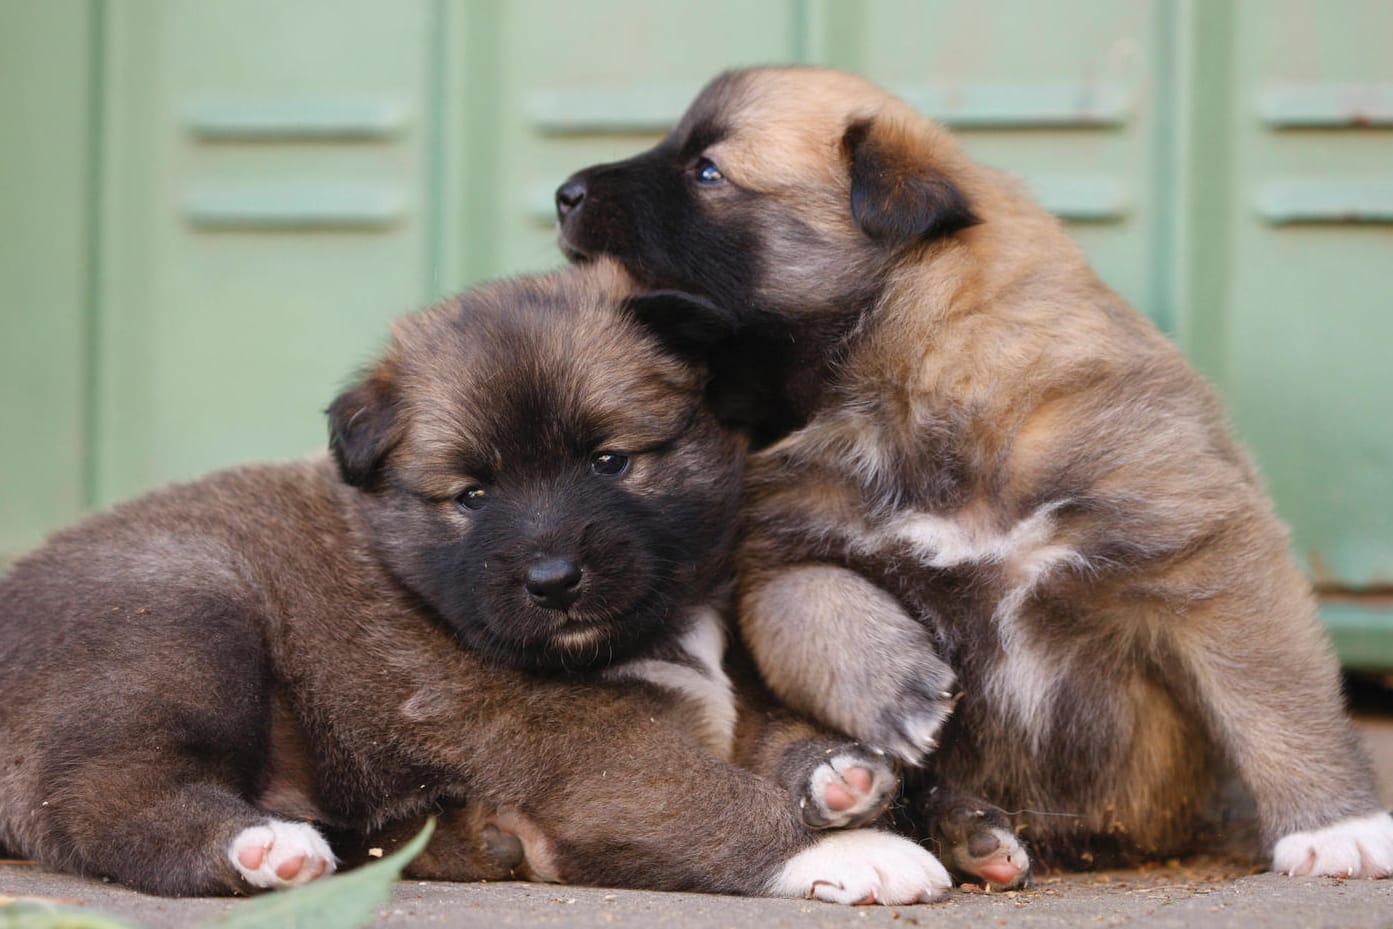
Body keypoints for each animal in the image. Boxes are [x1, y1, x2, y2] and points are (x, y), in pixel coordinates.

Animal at [0, 257, 947, 902]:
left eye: (609, 460)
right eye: (472, 494)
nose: (553, 579)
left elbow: (768, 731)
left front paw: (837, 775)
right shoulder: (589, 760)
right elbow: (708, 798)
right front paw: (852, 850)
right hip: (180, 617)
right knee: (98, 799)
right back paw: (264, 847)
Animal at [554, 67, 1393, 885]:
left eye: (706, 170)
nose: (564, 193)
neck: (910, 384)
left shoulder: (1196, 542)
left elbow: (1272, 695)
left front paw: (1335, 825)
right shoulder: (778, 551)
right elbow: (807, 605)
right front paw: (895, 687)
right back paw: (969, 829)